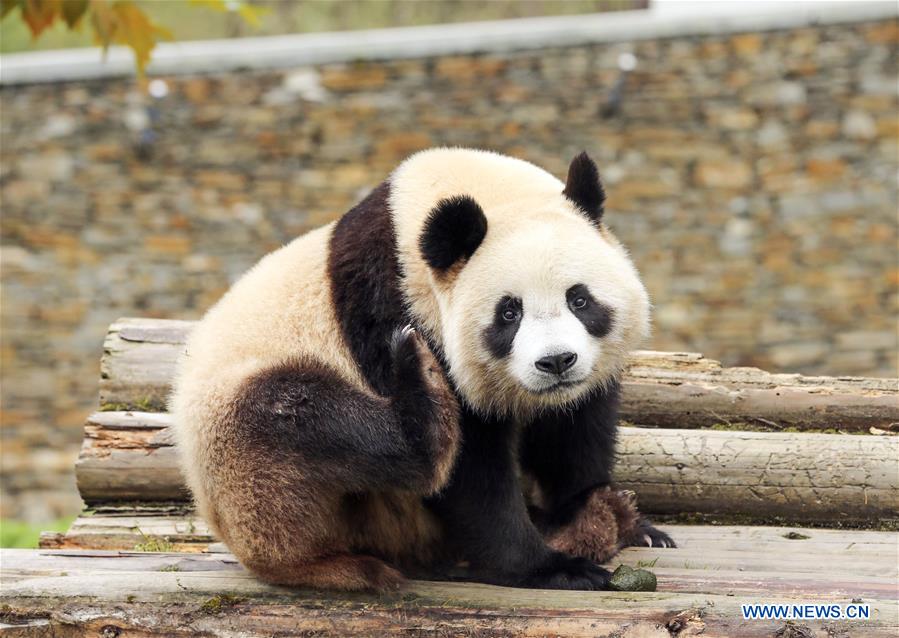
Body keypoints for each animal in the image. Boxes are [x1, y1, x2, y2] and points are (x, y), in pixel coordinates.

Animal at [170, 147, 673, 593]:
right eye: (509, 313)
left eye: (579, 299)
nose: (555, 362)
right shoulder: (393, 309)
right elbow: (470, 474)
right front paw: (550, 567)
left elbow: (573, 430)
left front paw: (601, 515)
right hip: (239, 451)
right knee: (302, 422)